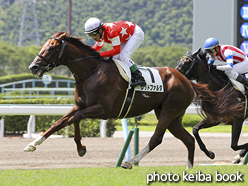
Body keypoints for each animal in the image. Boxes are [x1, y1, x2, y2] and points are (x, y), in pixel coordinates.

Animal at [25, 32, 238, 169]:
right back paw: (189, 169)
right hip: (171, 115)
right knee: (189, 140)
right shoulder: (80, 105)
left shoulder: (103, 110)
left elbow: (76, 118)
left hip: (169, 111)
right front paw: (32, 144)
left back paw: (130, 162)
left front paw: (81, 148)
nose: (33, 67)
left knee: (156, 139)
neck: (92, 72)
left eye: (52, 47)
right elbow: (59, 123)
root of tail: (186, 80)